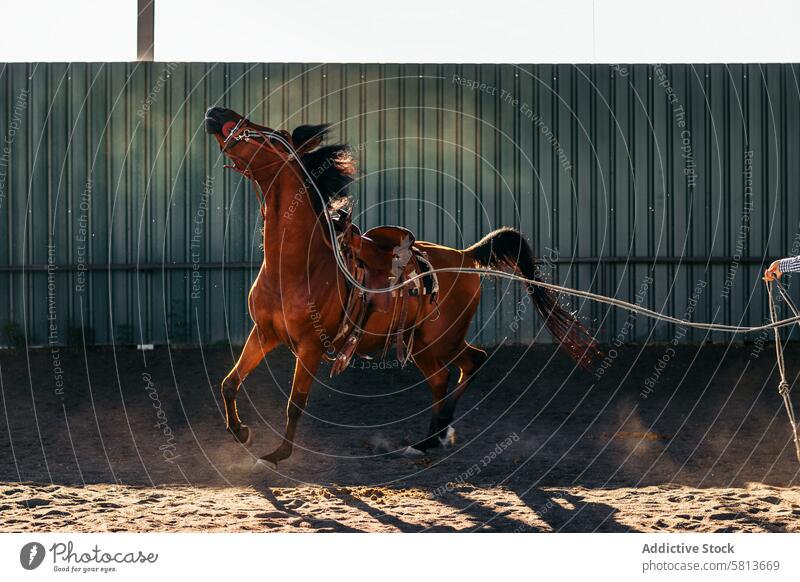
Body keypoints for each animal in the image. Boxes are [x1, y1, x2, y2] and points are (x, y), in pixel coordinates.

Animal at [203, 107, 596, 468]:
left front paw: (276, 455)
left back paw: (434, 436)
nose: (216, 112)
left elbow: (295, 404)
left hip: (437, 341)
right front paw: (241, 431)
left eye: (269, 136)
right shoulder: (264, 332)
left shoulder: (310, 347)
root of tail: (466, 257)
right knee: (455, 371)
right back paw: (431, 438)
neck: (298, 264)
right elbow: (229, 383)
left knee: (459, 369)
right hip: (427, 342)